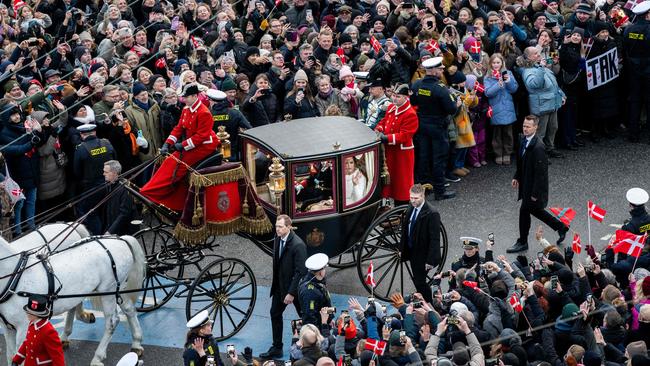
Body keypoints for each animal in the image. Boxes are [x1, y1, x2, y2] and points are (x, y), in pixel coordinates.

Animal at [0, 233, 146, 364]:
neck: (16, 278)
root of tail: (121, 239)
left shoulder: (24, 328)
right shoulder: (8, 328)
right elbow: (10, 356)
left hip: (108, 291)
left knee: (112, 322)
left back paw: (97, 358)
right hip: (119, 288)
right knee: (129, 309)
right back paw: (136, 343)